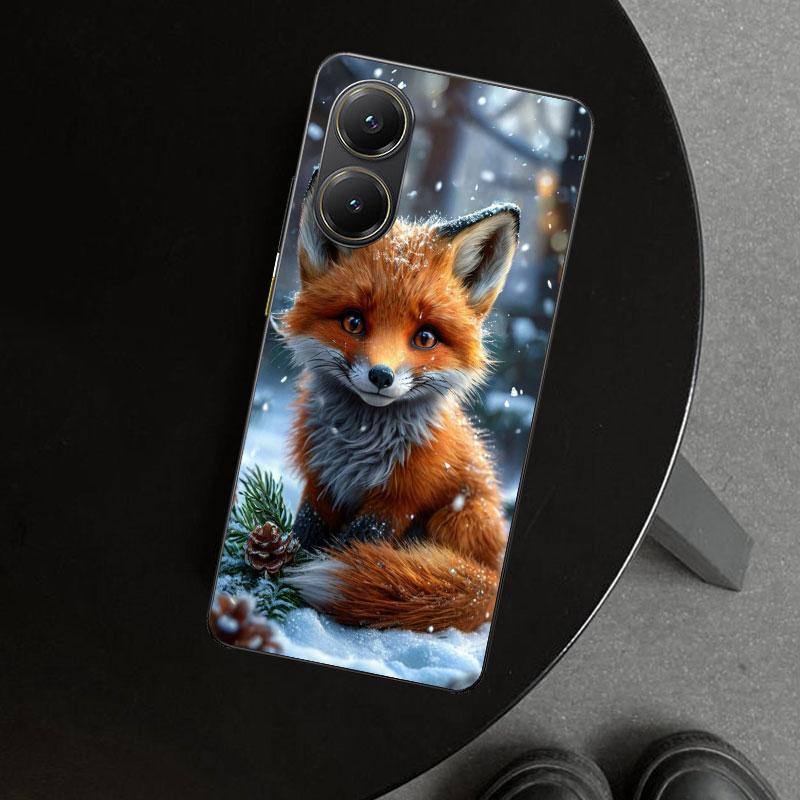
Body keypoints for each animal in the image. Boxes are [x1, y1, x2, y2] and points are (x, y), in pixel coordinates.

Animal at [281, 172, 520, 633]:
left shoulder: (398, 500)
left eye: (424, 337)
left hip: (459, 515)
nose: (381, 376)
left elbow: (350, 547)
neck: (358, 445)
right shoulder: (322, 480)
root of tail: (496, 573)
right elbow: (305, 531)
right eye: (353, 322)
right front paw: (276, 564)